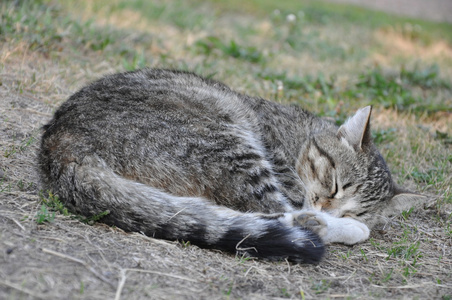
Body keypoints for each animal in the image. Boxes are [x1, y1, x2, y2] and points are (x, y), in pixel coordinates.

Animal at [38, 68, 424, 262]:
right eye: (334, 184)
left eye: (353, 207)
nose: (333, 209)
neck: (298, 135)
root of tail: (60, 143)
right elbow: (300, 207)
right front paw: (349, 225)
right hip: (227, 141)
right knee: (286, 217)